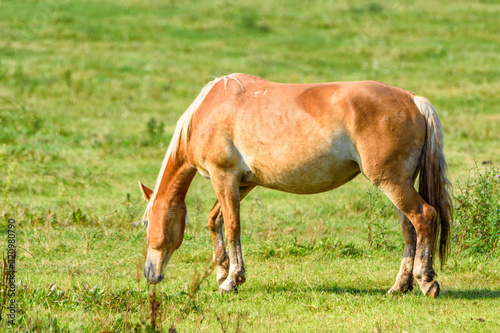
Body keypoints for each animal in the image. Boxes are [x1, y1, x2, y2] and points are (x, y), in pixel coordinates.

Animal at [138, 72, 454, 296]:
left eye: (145, 224)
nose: (149, 274)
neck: (209, 111)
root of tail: (414, 100)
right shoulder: (243, 183)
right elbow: (215, 220)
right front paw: (222, 271)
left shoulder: (224, 176)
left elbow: (232, 226)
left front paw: (232, 280)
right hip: (399, 184)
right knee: (409, 229)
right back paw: (400, 286)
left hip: (391, 182)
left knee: (424, 216)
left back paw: (425, 280)